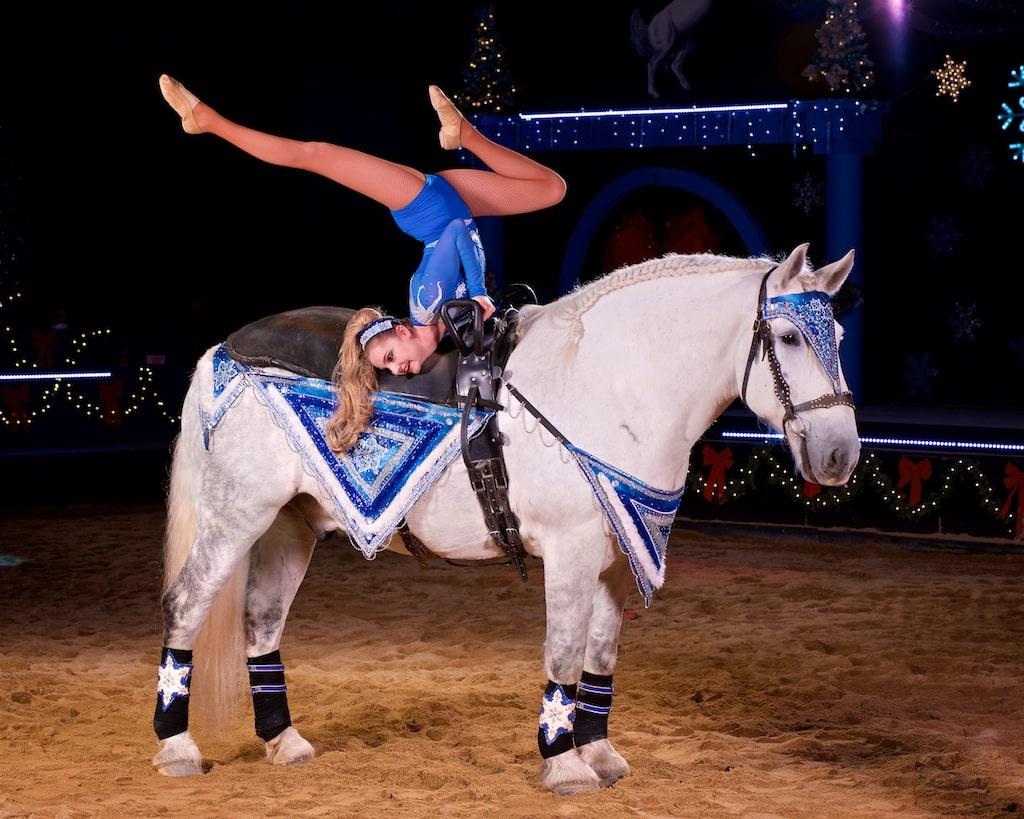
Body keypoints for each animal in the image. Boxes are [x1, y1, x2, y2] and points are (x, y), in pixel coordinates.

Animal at [151, 244, 856, 794]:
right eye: (789, 338)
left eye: (839, 338)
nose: (839, 454)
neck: (606, 384)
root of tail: (224, 349)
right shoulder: (571, 551)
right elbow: (564, 652)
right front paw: (563, 762)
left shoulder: (613, 556)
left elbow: (600, 653)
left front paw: (598, 752)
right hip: (237, 513)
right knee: (187, 603)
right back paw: (176, 747)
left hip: (290, 525)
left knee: (261, 621)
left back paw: (283, 741)